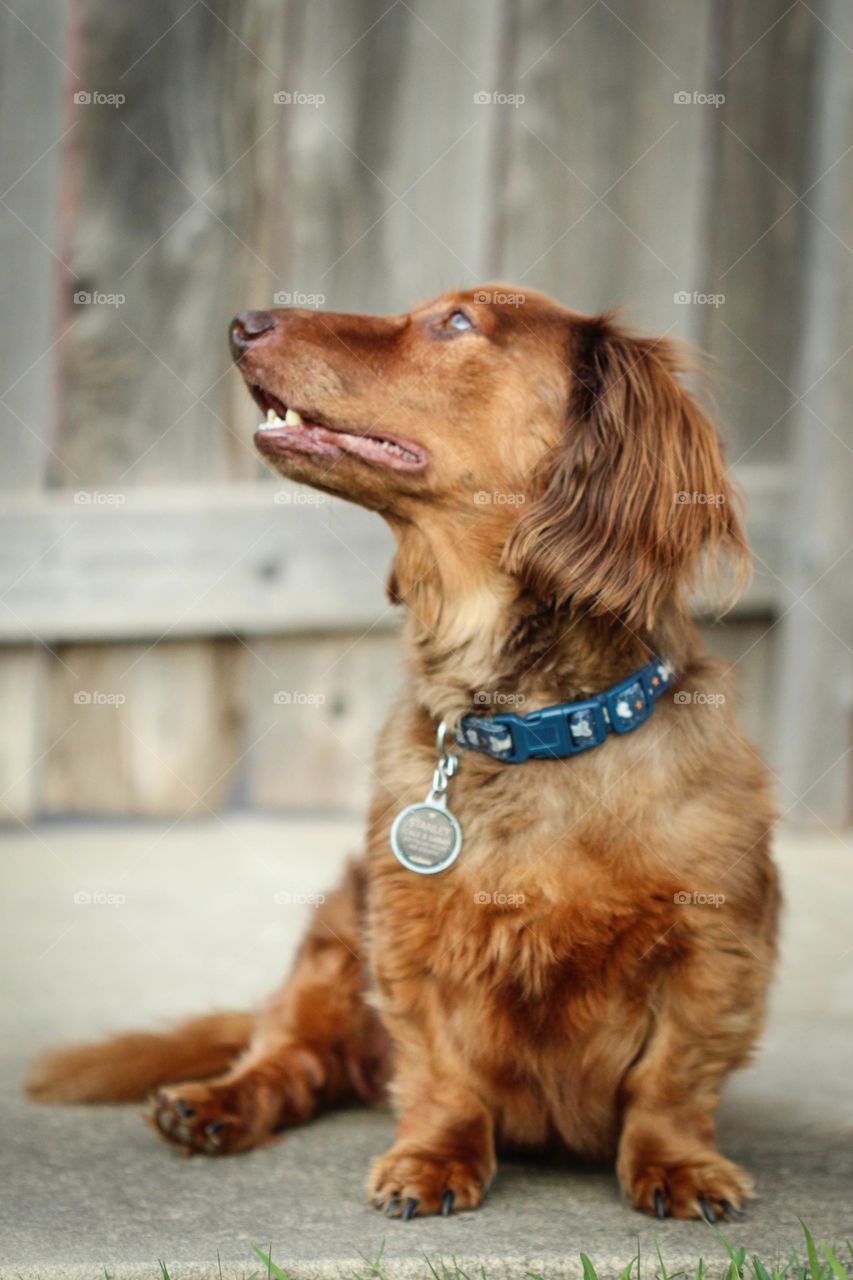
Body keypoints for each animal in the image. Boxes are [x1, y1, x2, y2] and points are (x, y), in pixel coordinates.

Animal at [26, 285, 773, 1223]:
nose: (242, 323)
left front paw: (678, 1164)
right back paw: (215, 1102)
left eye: (457, 322)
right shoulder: (405, 941)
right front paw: (432, 1158)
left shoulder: (714, 947)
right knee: (292, 1056)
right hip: (334, 933)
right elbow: (439, 1073)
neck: (533, 733)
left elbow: (671, 1079)